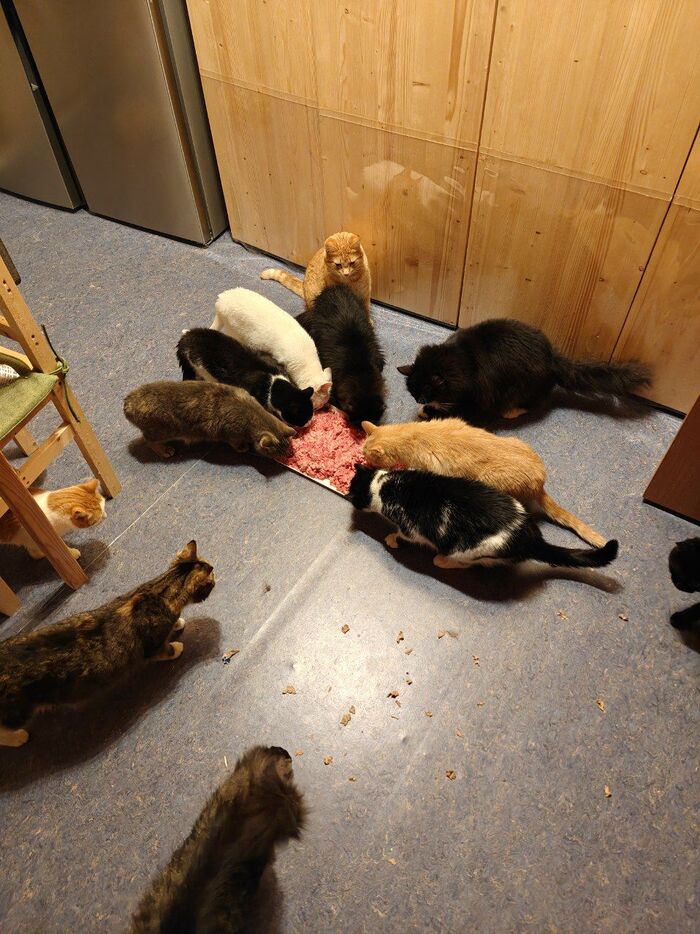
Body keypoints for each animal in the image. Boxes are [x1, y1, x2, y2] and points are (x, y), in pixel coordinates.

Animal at [0, 541, 214, 747]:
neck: (157, 593)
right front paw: (176, 646)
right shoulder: (152, 647)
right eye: (212, 577)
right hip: (17, 712)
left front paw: (178, 623)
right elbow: (165, 649)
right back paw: (18, 738)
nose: (217, 575)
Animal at [123, 380, 295, 459]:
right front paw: (243, 448)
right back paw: (164, 450)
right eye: (280, 455)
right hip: (163, 430)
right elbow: (235, 443)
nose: (291, 456)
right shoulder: (231, 435)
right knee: (149, 441)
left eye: (290, 450)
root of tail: (127, 403)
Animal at [349, 464, 618, 572]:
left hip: (470, 550)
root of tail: (529, 536)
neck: (383, 484)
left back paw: (441, 561)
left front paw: (391, 539)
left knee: (469, 564)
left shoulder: (410, 527)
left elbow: (402, 534)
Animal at [398, 318, 652, 426]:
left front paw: (429, 411)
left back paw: (511, 411)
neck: (461, 360)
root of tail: (551, 358)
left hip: (520, 388)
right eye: (414, 392)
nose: (419, 400)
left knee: (534, 403)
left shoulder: (472, 398)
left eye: (427, 391)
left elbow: (454, 408)